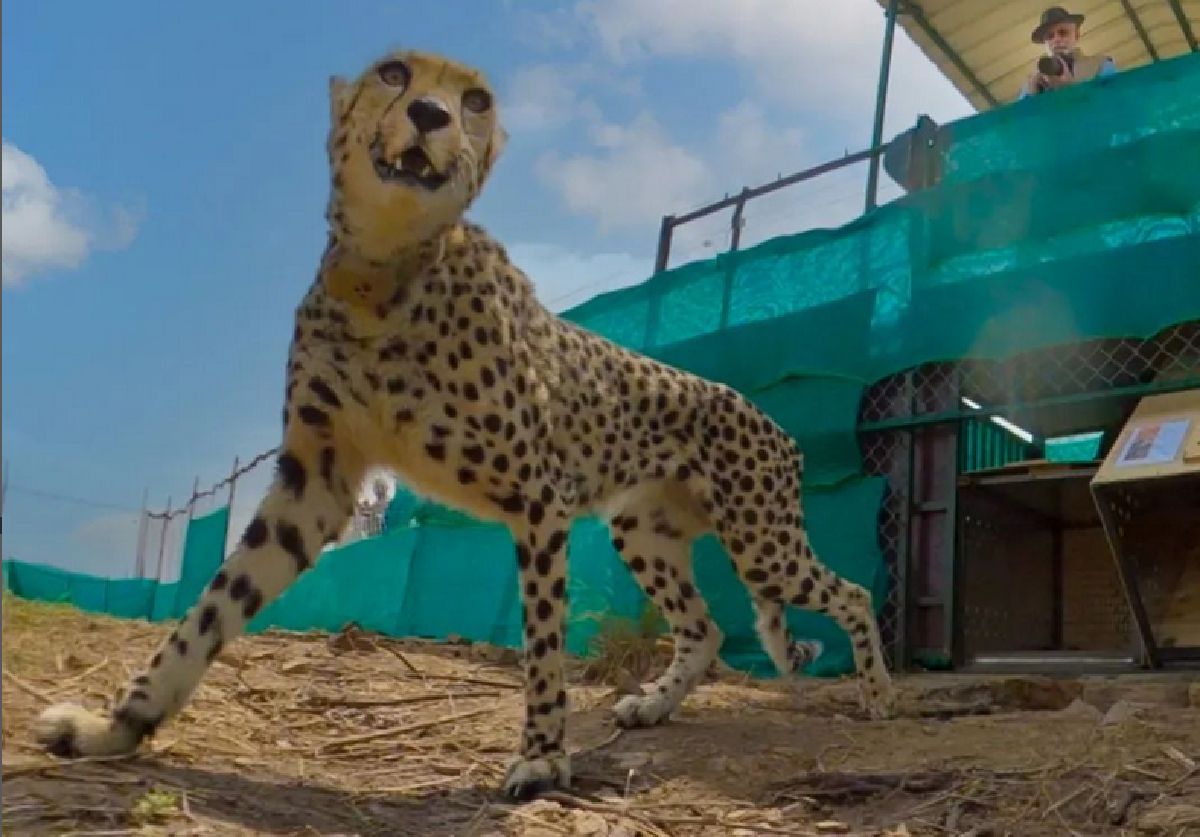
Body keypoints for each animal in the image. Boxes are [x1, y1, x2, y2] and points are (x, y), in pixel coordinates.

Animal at [32, 48, 897, 801]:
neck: (383, 270)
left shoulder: (540, 497)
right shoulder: (318, 481)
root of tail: (769, 417)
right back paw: (654, 702)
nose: (429, 114)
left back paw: (878, 694)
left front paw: (542, 760)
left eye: (474, 99)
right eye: (393, 74)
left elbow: (543, 642)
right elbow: (209, 611)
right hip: (645, 532)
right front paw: (116, 727)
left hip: (760, 540)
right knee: (708, 627)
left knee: (851, 590)